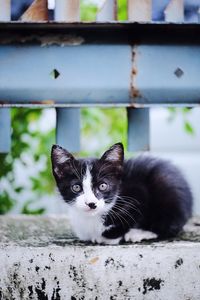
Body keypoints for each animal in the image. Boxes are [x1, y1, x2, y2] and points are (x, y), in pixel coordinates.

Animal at [50, 142, 193, 244]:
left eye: (103, 186)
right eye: (76, 187)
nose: (91, 203)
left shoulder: (138, 193)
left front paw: (107, 237)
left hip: (167, 188)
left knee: (171, 224)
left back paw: (140, 233)